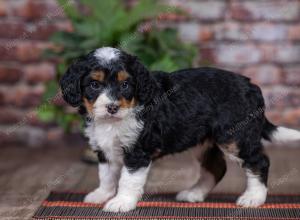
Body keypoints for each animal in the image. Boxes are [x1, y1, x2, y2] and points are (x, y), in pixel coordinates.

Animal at [60, 47, 300, 212]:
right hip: (203, 141)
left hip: (235, 137)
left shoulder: (138, 151)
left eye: (125, 85)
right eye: (94, 85)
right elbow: (107, 175)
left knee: (259, 162)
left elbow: (128, 179)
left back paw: (254, 198)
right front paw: (101, 195)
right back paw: (194, 194)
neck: (113, 122)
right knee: (216, 167)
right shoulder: (104, 148)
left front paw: (121, 202)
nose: (112, 107)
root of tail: (252, 86)